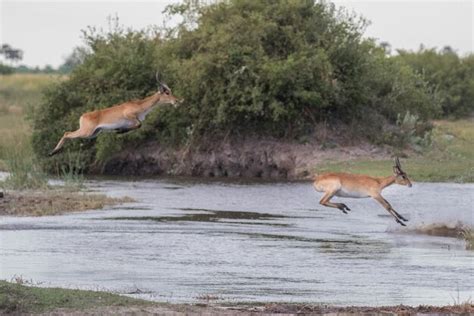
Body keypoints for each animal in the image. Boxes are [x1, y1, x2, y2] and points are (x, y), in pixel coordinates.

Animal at [49, 72, 180, 156]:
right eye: (167, 92)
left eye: (170, 91)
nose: (177, 101)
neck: (140, 105)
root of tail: (83, 116)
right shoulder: (130, 116)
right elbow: (139, 124)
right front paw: (119, 130)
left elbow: (137, 125)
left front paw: (119, 130)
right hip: (86, 132)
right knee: (66, 133)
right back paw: (53, 152)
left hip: (93, 134)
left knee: (68, 134)